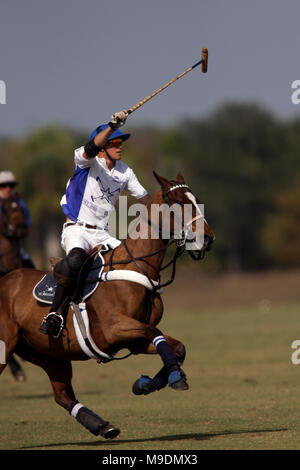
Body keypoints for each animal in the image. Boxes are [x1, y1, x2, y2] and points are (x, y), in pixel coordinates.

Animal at [0, 173, 216, 440]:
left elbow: (177, 348)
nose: (207, 239)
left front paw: (145, 384)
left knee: (62, 395)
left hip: (48, 353)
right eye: (178, 202)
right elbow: (156, 334)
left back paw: (102, 426)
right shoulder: (114, 329)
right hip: (8, 344)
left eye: (196, 200)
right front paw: (175, 377)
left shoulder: (134, 340)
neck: (139, 267)